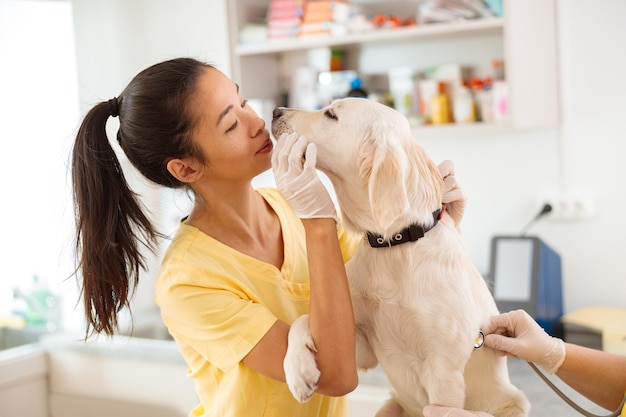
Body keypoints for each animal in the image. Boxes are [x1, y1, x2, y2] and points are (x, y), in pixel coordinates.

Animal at [270, 98, 528, 416]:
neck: (396, 244)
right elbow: (303, 319)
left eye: (331, 114)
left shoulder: (444, 370)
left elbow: (440, 405)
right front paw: (297, 370)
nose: (275, 112)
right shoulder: (361, 348)